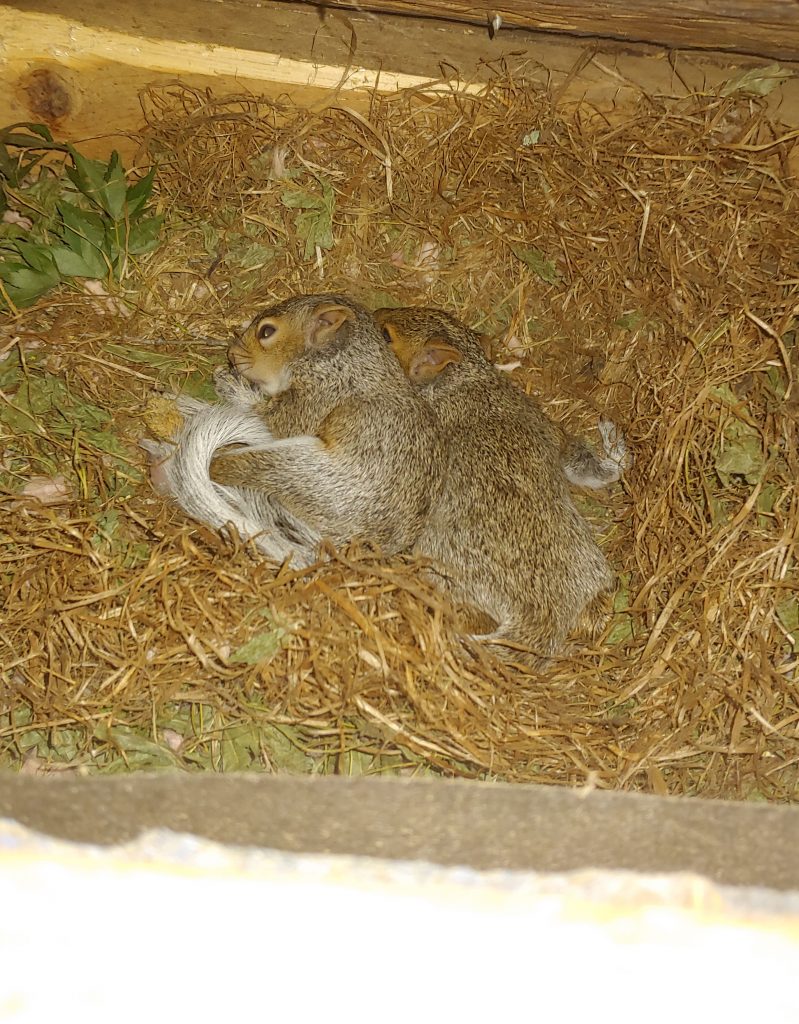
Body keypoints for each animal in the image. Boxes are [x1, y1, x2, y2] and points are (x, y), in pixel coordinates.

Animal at [142, 294, 445, 567]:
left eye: (266, 332)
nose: (231, 354)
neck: (342, 359)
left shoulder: (320, 395)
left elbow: (277, 420)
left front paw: (230, 384)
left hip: (301, 470)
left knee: (225, 466)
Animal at [374, 305, 625, 658]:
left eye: (387, 334)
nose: (374, 312)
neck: (468, 378)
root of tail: (543, 619)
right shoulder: (549, 429)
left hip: (444, 569)